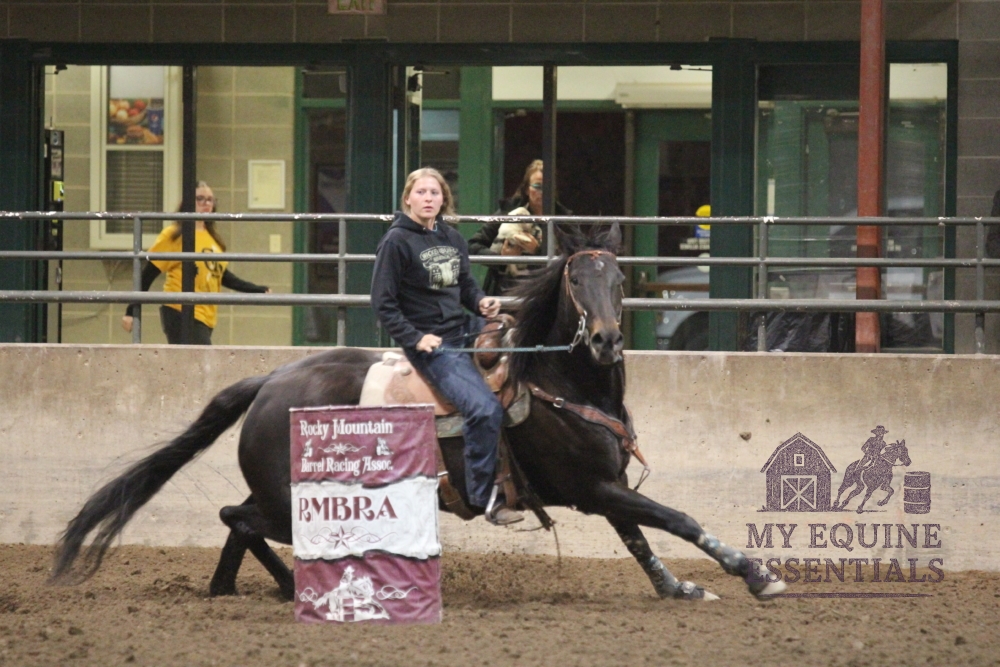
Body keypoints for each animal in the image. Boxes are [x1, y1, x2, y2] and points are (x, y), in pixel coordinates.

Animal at [51, 223, 785, 602]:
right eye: (577, 279)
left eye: (619, 277)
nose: (605, 339)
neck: (558, 379)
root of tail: (269, 380)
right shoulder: (592, 486)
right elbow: (675, 518)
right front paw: (755, 573)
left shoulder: (607, 485)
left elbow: (639, 537)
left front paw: (678, 587)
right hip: (291, 498)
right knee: (240, 519)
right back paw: (290, 584)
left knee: (237, 522)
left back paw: (240, 588)